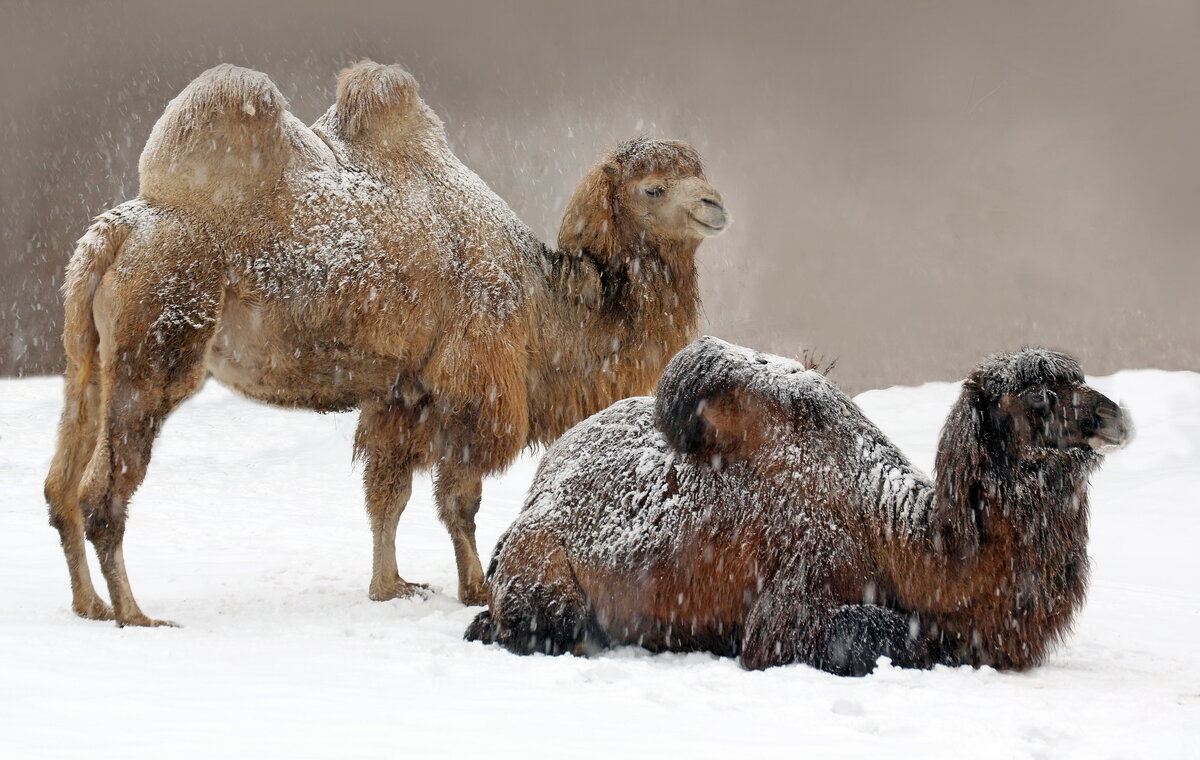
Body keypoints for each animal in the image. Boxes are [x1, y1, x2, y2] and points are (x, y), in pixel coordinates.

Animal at [42, 62, 724, 624]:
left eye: (698, 173)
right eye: (653, 188)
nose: (716, 206)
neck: (545, 303)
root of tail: (118, 232)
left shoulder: (403, 392)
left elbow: (387, 495)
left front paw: (391, 587)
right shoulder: (473, 385)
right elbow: (459, 499)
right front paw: (476, 589)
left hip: (90, 358)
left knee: (59, 487)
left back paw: (89, 605)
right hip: (156, 346)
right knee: (101, 494)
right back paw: (136, 615)